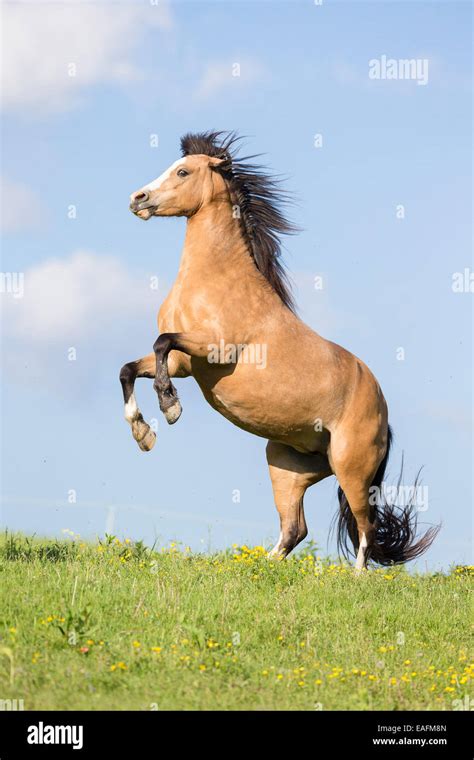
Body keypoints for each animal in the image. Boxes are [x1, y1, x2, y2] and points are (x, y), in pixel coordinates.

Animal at [120, 131, 438, 568]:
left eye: (182, 172)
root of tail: (384, 415)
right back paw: (260, 566)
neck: (215, 281)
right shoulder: (186, 363)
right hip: (286, 465)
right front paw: (143, 433)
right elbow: (131, 367)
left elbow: (161, 343)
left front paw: (170, 407)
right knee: (295, 529)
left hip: (352, 468)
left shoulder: (213, 350)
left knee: (365, 528)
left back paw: (354, 577)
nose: (138, 198)